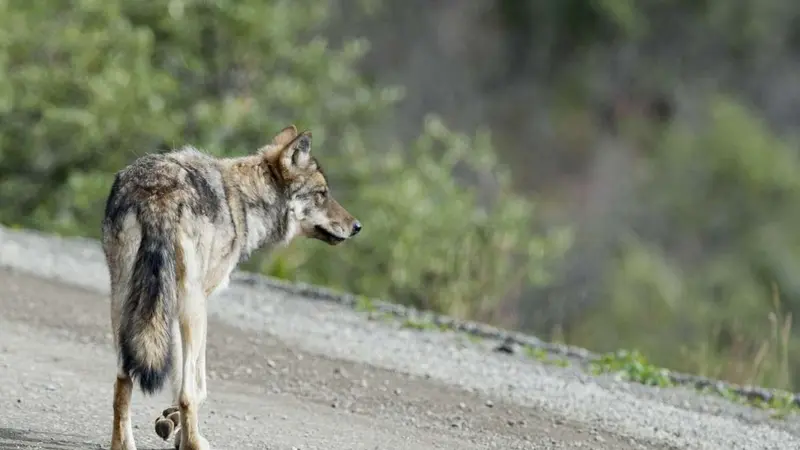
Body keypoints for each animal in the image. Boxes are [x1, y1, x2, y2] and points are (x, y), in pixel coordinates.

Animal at [102, 125, 361, 450]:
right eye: (322, 194)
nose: (357, 226)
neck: (245, 203)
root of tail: (157, 191)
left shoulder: (168, 311)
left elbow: (177, 376)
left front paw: (170, 422)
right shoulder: (193, 304)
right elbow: (196, 387)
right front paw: (177, 426)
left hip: (124, 301)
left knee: (123, 378)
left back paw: (124, 444)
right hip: (193, 310)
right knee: (187, 392)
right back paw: (195, 444)